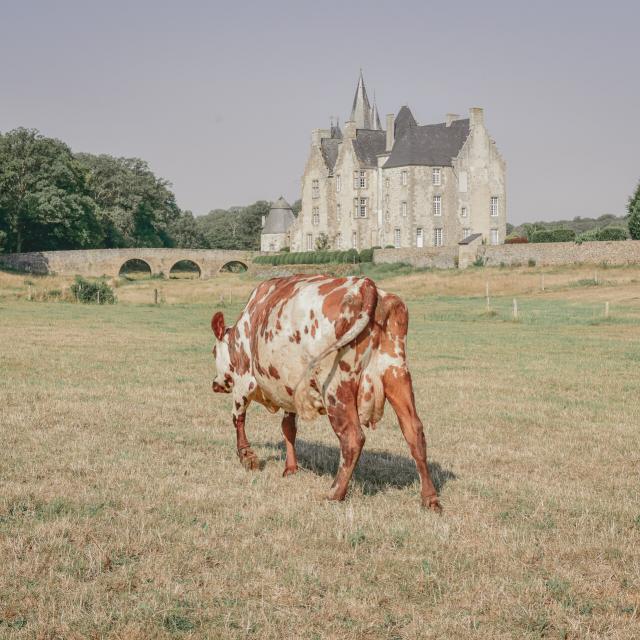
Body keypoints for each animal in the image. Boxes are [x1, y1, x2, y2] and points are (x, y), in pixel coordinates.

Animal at [210, 274, 440, 510]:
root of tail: (366, 286)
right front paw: (290, 468)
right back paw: (430, 498)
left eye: (213, 352)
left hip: (336, 388)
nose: (216, 384)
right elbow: (288, 428)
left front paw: (248, 458)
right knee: (414, 432)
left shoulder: (243, 381)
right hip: (397, 375)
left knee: (353, 438)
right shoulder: (291, 393)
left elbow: (238, 418)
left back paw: (335, 493)